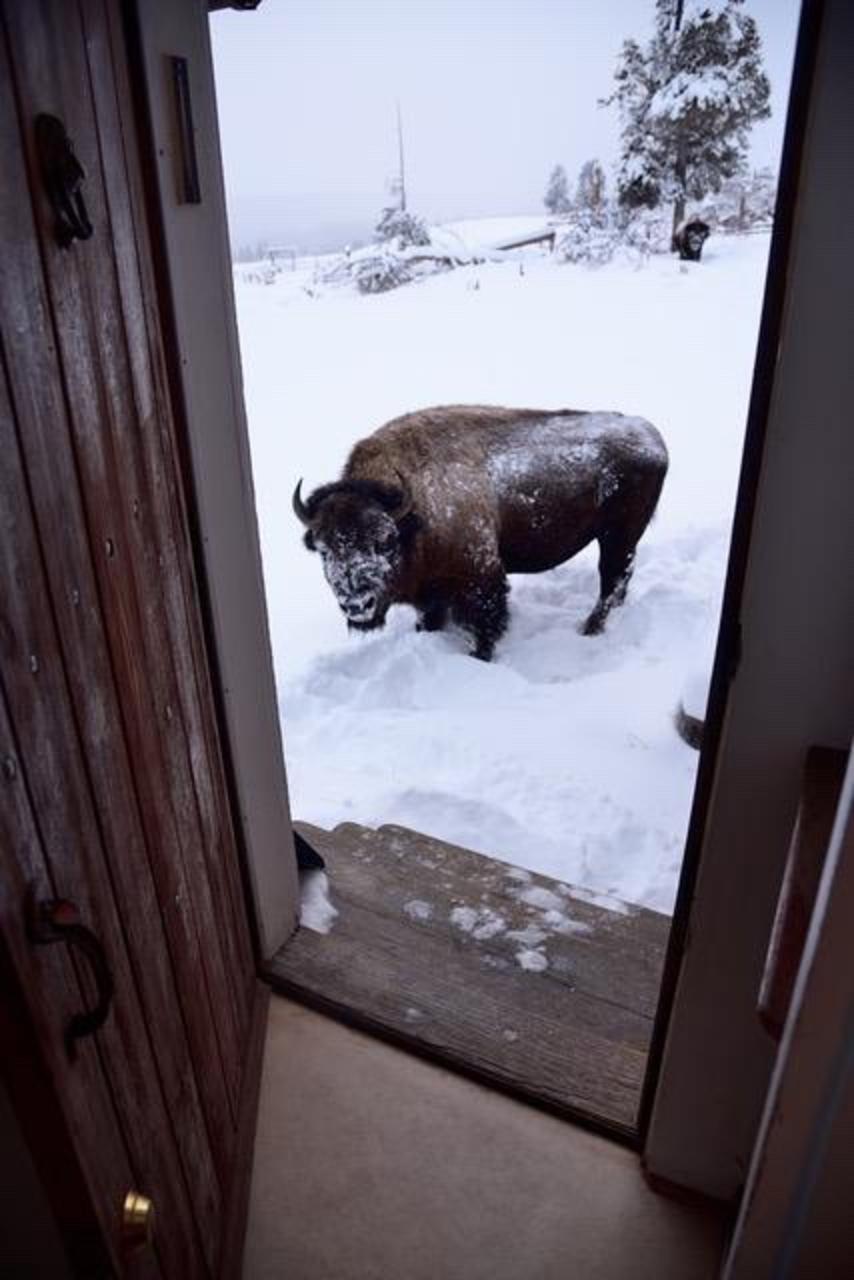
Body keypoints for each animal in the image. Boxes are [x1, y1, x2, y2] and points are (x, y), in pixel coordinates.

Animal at [294, 404, 665, 660]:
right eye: (324, 550)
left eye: (385, 541)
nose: (357, 604)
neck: (415, 507)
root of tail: (653, 437)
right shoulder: (431, 593)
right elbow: (431, 617)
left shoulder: (480, 578)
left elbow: (486, 626)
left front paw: (479, 657)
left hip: (618, 536)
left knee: (611, 581)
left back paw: (588, 630)